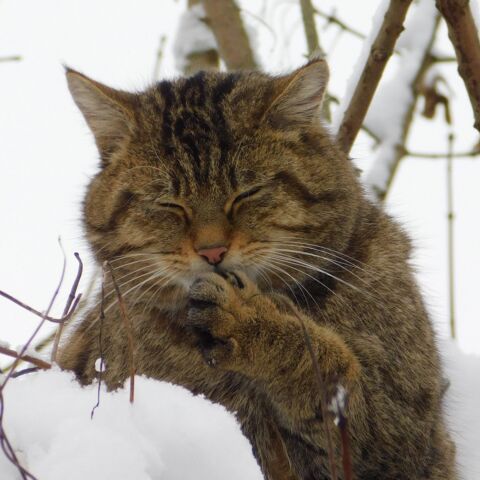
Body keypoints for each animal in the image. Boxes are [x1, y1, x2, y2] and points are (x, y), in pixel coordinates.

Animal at [60, 61, 458, 480]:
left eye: (247, 193)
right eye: (168, 203)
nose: (213, 250)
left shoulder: (403, 434)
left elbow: (326, 366)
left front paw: (248, 322)